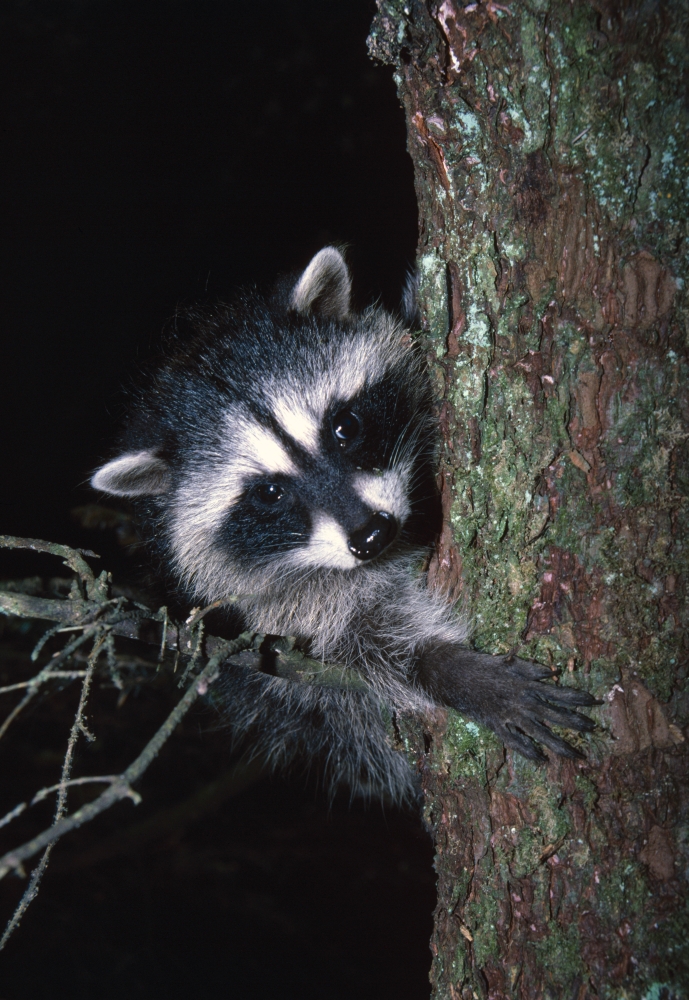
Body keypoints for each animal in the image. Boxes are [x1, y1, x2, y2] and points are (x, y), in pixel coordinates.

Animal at [91, 247, 595, 802]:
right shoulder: (272, 610)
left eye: (345, 426)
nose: (372, 535)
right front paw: (446, 669)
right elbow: (358, 655)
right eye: (269, 493)